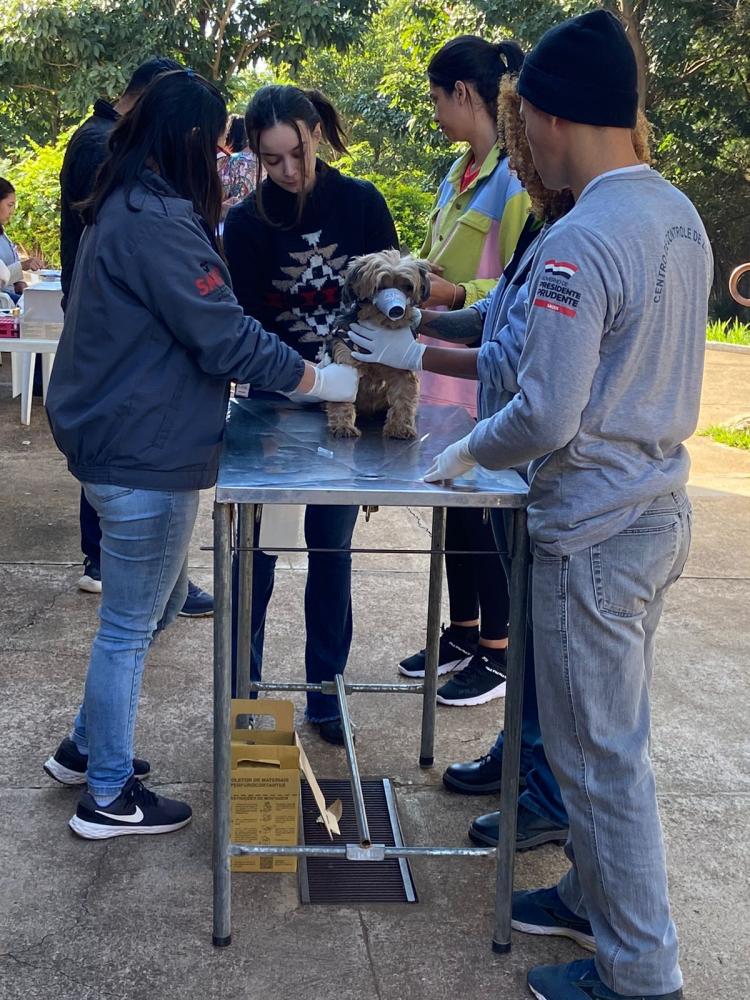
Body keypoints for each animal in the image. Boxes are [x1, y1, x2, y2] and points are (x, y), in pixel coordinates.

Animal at [328, 249, 428, 438]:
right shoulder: (346, 362)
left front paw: (400, 427)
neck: (380, 325)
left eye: (408, 287)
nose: (397, 310)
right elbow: (341, 398)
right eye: (379, 286)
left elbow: (403, 398)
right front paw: (343, 426)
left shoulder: (402, 369)